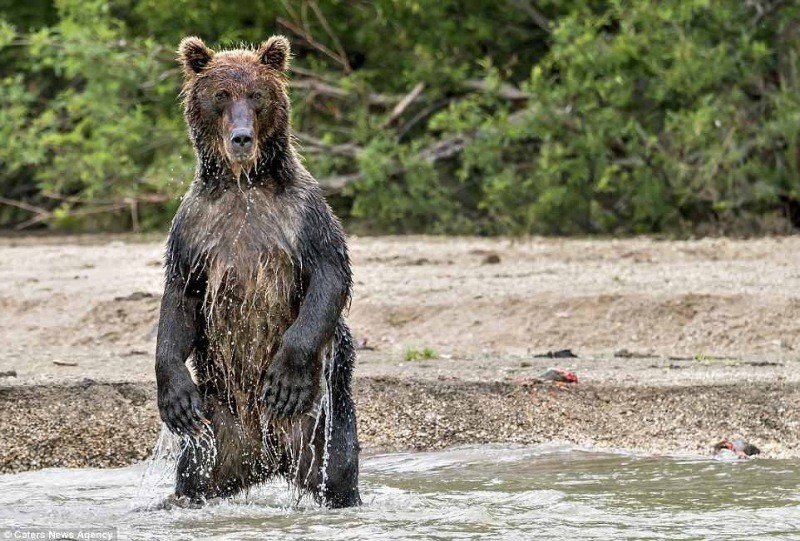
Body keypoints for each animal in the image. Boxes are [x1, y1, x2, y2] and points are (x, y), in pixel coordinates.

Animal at [154, 35, 360, 508]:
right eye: (220, 95)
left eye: (257, 95)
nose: (241, 137)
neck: (242, 183)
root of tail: (267, 455)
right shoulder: (194, 228)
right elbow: (180, 297)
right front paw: (175, 398)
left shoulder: (302, 214)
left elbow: (330, 274)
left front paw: (285, 379)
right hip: (219, 423)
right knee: (195, 472)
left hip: (320, 419)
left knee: (338, 468)